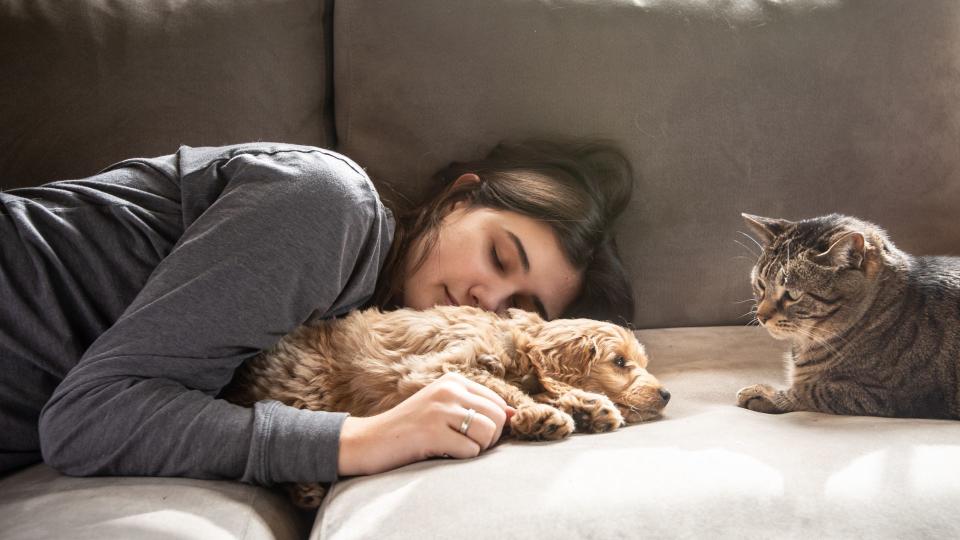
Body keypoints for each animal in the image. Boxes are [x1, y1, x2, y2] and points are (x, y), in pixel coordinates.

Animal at [222, 306, 672, 508]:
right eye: (619, 362)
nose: (667, 394)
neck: (515, 343)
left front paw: (588, 406)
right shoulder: (439, 367)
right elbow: (501, 389)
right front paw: (541, 415)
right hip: (307, 386)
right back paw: (306, 490)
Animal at [740, 213, 956, 420]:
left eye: (792, 294)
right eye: (761, 284)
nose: (760, 316)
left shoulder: (882, 394)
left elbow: (814, 391)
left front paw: (763, 395)